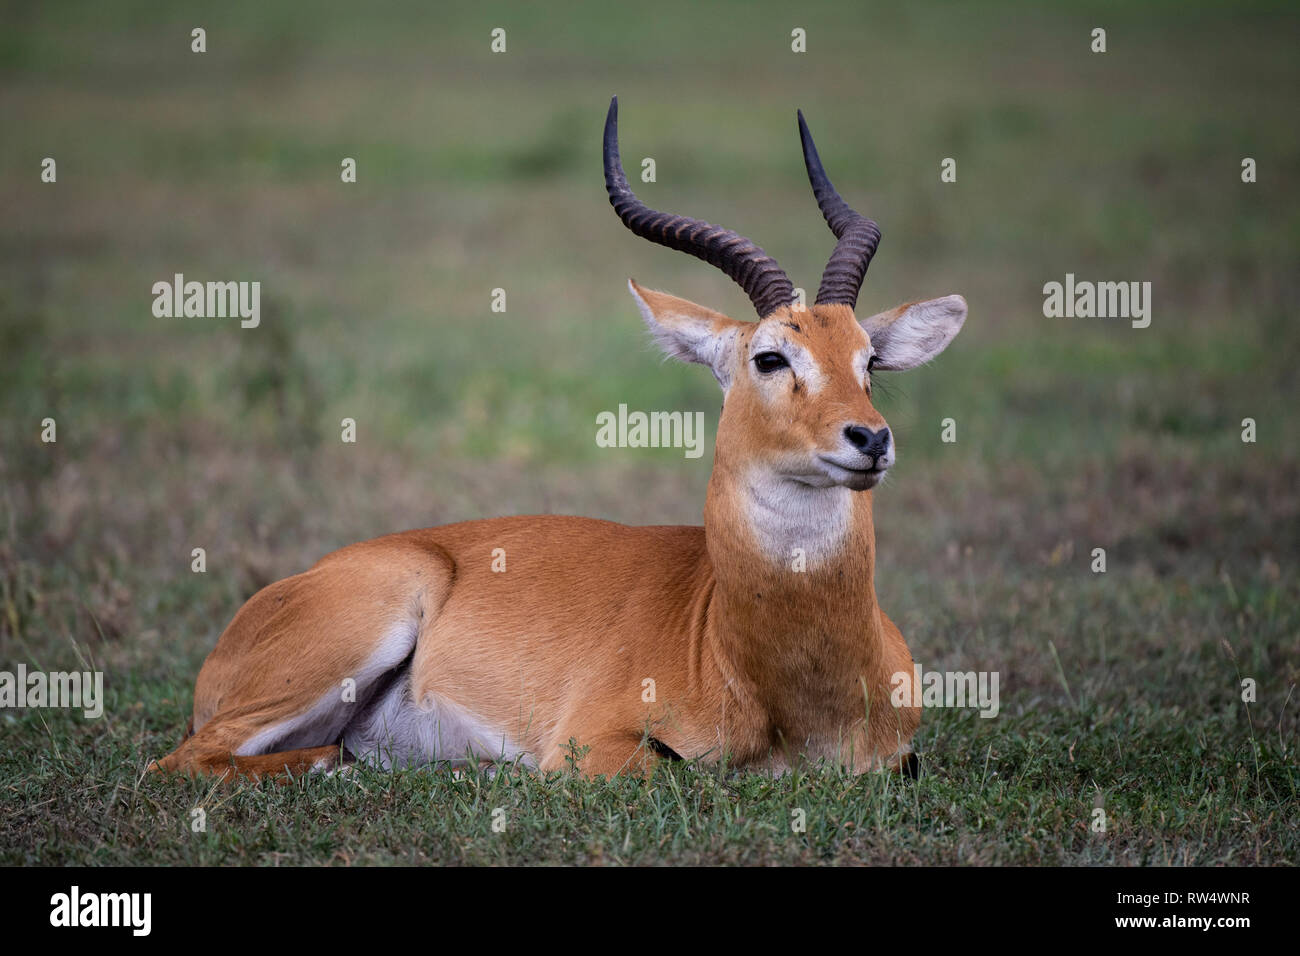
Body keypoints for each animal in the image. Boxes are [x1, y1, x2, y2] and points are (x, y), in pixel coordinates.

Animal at [152, 97, 967, 780]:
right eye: (771, 357)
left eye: (868, 360)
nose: (870, 439)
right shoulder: (596, 747)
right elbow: (680, 774)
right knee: (188, 759)